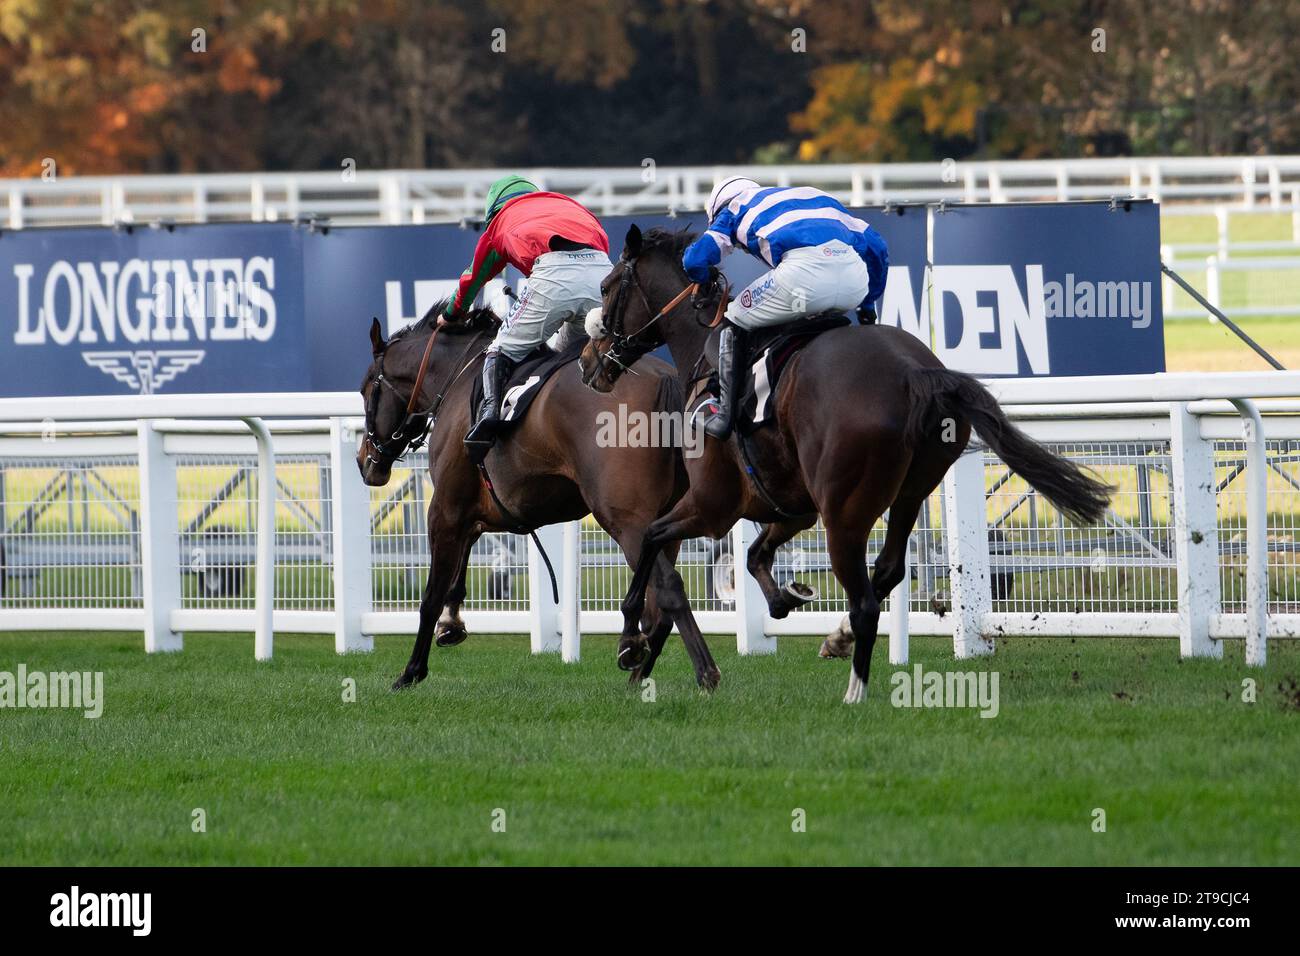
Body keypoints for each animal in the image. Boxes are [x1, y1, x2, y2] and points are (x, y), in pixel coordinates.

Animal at [356, 303, 722, 691]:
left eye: (365, 390)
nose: (365, 461)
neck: (457, 378)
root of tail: (665, 379)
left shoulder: (445, 509)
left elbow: (431, 596)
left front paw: (411, 671)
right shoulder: (482, 507)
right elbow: (466, 553)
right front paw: (451, 623)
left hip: (626, 519)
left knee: (669, 588)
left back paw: (700, 671)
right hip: (667, 522)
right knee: (659, 607)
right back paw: (637, 670)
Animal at [579, 223, 1107, 702]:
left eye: (606, 287)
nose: (587, 361)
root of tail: (916, 372)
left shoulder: (714, 505)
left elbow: (651, 539)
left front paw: (630, 642)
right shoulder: (791, 507)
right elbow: (752, 556)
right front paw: (786, 598)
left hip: (844, 515)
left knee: (867, 602)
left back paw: (856, 691)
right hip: (908, 493)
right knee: (887, 571)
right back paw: (839, 638)